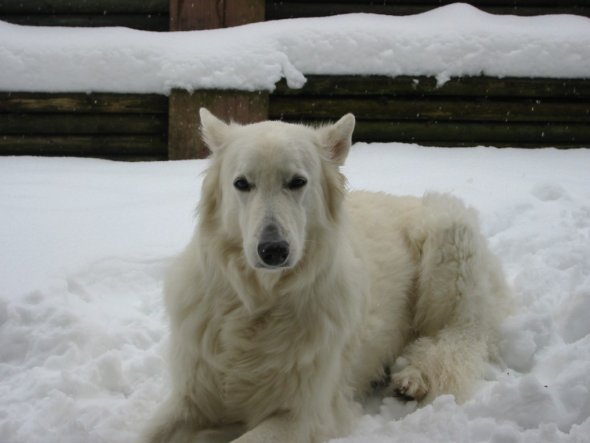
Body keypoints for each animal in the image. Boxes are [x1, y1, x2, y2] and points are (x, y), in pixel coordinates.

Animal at [140, 109, 512, 442]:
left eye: (297, 182)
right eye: (242, 184)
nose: (273, 250)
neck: (260, 303)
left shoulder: (304, 414)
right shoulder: (194, 397)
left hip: (448, 239)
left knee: (460, 335)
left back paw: (417, 376)